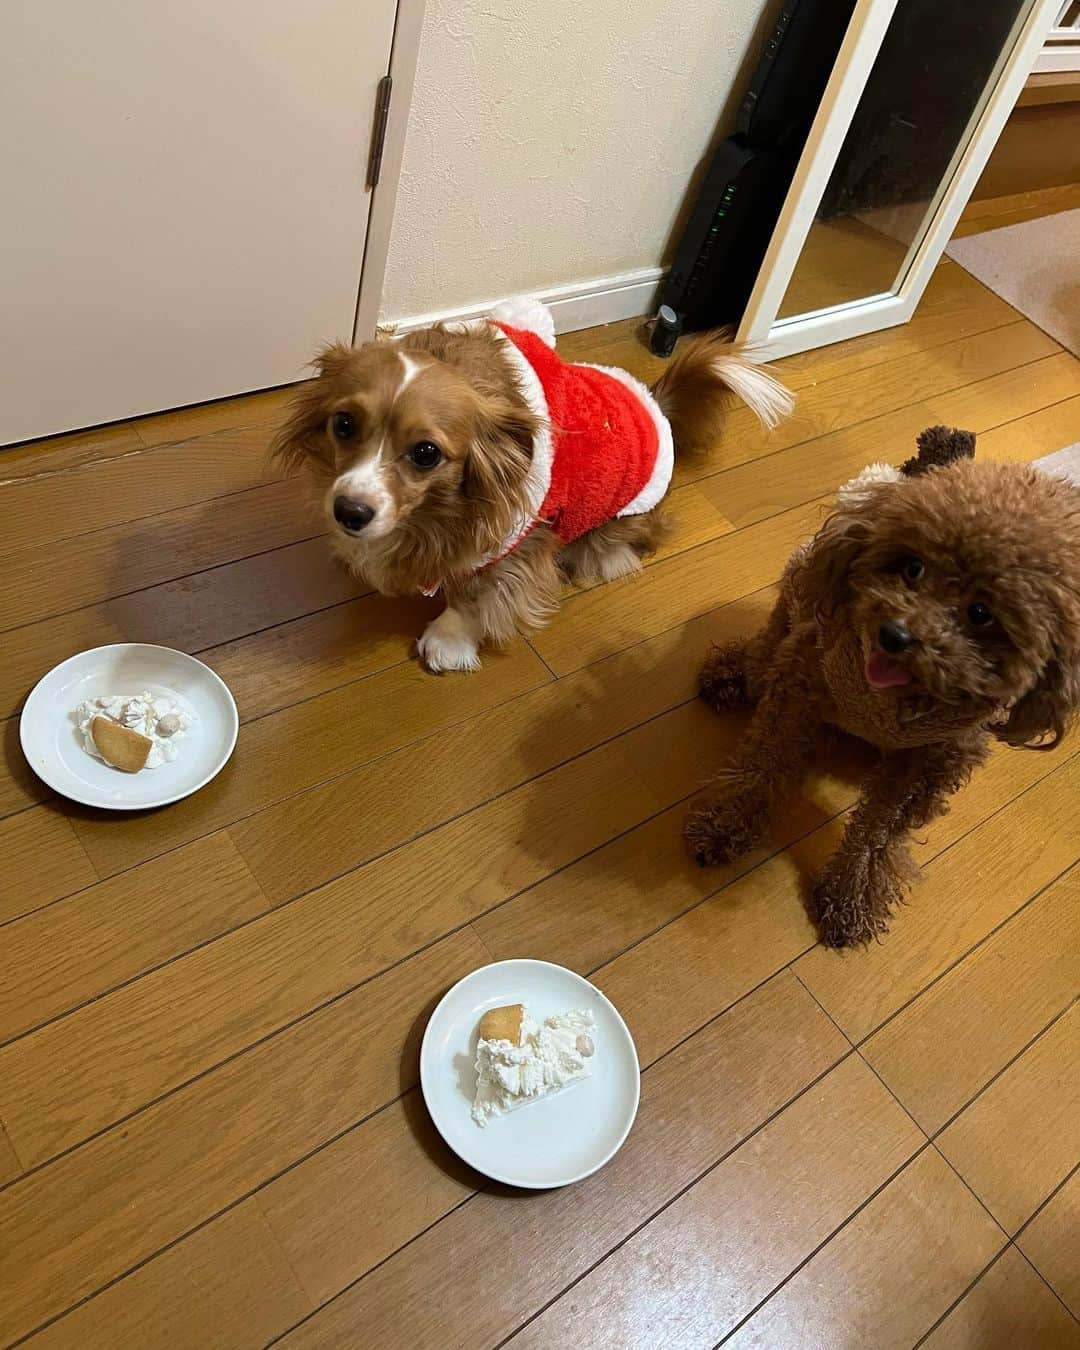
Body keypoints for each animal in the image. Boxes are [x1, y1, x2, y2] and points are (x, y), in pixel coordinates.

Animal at [272, 299, 793, 669]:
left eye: (426, 453)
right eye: (343, 424)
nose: (349, 513)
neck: (433, 517)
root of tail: (657, 405)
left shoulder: (516, 542)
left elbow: (477, 593)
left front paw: (448, 641)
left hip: (620, 515)